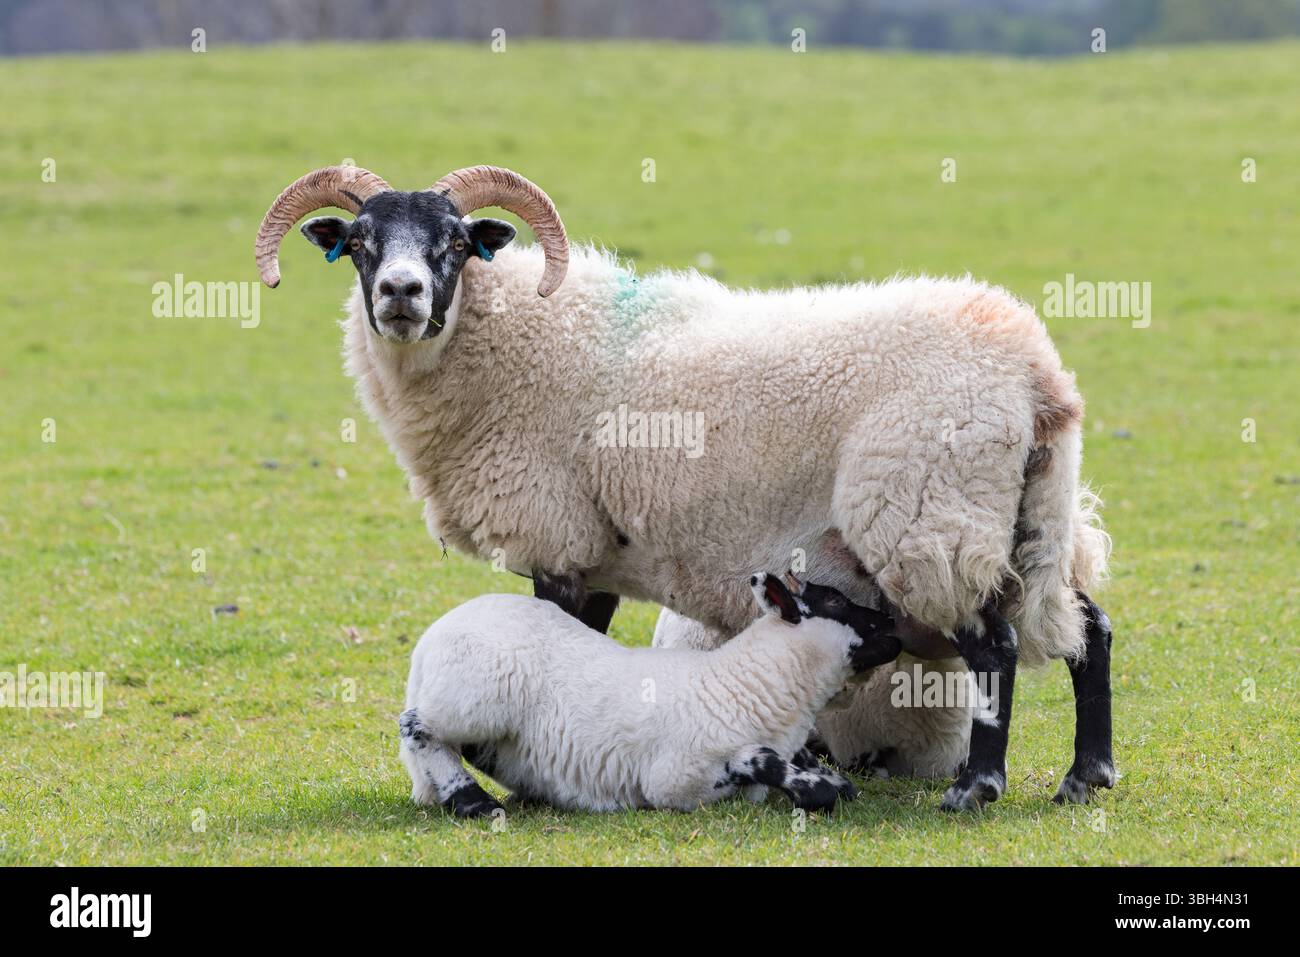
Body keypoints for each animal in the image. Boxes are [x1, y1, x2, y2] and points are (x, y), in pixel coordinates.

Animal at [399, 573, 901, 815]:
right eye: (835, 602)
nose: (894, 627)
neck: (743, 685)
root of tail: (428, 641)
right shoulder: (675, 780)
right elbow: (767, 765)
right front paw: (813, 788)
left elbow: (827, 778)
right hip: (478, 695)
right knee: (416, 728)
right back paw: (473, 802)